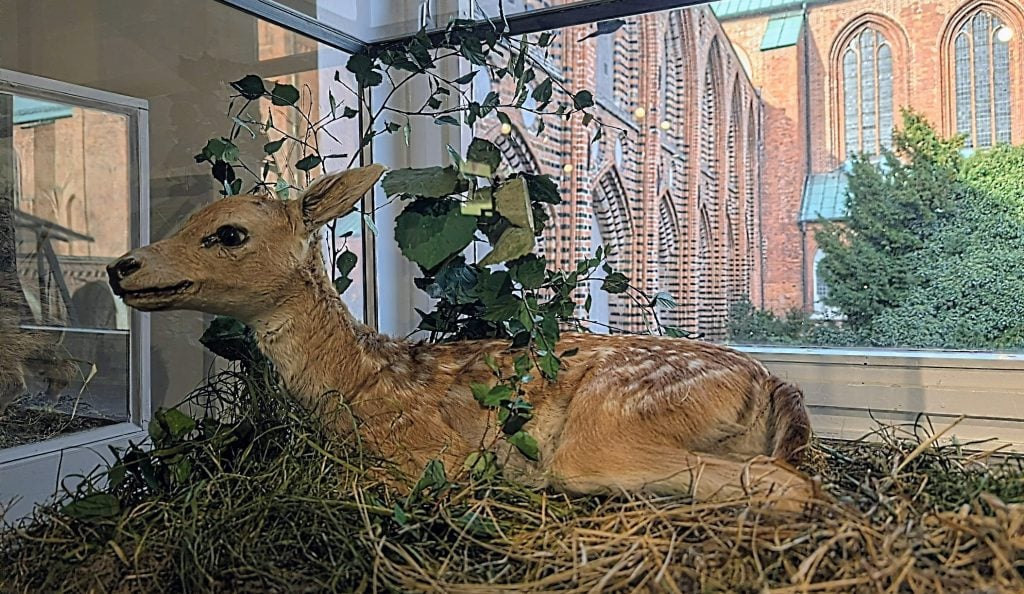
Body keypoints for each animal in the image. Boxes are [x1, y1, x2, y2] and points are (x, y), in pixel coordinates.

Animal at [106, 165, 818, 511]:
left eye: (228, 233)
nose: (122, 266)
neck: (361, 383)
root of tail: (769, 383)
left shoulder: (431, 455)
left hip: (609, 429)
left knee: (790, 485)